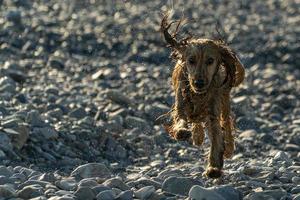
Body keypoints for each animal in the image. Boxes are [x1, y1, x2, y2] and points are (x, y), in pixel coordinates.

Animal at [161, 14, 245, 178]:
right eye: (191, 60)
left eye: (210, 61)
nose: (199, 83)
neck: (199, 94)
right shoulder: (181, 102)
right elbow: (181, 118)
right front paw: (182, 131)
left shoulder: (213, 113)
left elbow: (217, 137)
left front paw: (214, 167)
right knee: (197, 121)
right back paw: (197, 136)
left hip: (225, 102)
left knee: (227, 122)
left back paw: (229, 147)